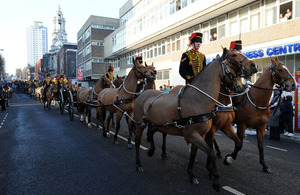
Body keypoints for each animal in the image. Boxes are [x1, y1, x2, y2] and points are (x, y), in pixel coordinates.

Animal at [134, 48, 258, 192]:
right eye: (232, 61)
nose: (254, 66)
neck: (197, 100)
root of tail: (144, 93)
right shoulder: (194, 135)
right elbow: (211, 152)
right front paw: (215, 178)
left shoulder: (203, 133)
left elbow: (195, 154)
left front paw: (192, 174)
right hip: (140, 125)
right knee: (137, 141)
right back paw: (139, 163)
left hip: (160, 124)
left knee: (153, 131)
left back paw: (152, 150)